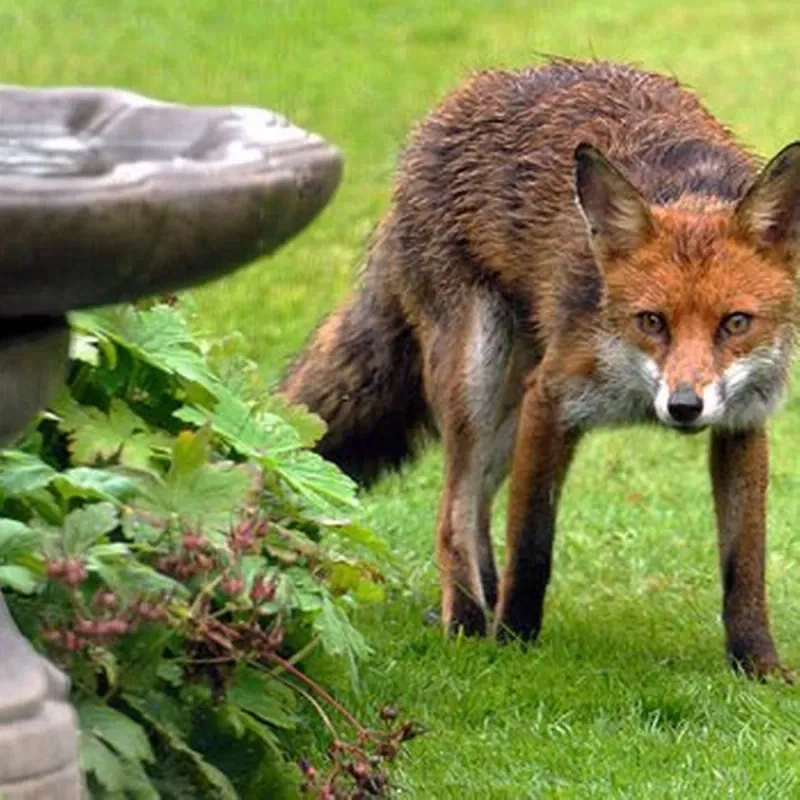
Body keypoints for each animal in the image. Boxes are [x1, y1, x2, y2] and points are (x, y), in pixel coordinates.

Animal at [280, 58, 800, 680]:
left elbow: (745, 565)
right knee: (452, 514)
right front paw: (514, 640)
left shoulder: (742, 422)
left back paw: (477, 601)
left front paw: (758, 665)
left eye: (735, 322)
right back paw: (469, 622)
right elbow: (531, 543)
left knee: (477, 504)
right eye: (652, 321)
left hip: (505, 411)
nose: (683, 408)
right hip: (477, 376)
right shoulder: (552, 398)